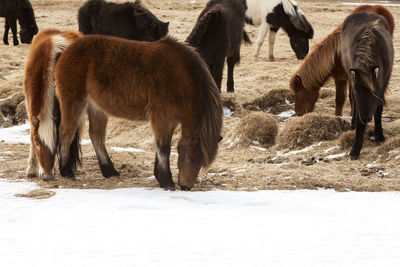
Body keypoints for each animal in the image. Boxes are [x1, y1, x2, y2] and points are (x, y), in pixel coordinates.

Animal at [53, 35, 223, 191]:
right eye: (188, 155)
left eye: (202, 161)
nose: (186, 186)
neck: (178, 76)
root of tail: (65, 52)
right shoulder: (162, 118)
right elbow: (164, 148)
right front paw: (167, 181)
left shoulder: (170, 121)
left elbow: (161, 146)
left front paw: (160, 177)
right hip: (74, 103)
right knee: (66, 133)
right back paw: (66, 171)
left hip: (96, 108)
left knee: (96, 136)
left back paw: (110, 171)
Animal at [340, 11, 394, 160]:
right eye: (358, 89)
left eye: (372, 90)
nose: (365, 117)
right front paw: (355, 150)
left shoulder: (382, 85)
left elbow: (378, 109)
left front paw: (379, 136)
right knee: (353, 102)